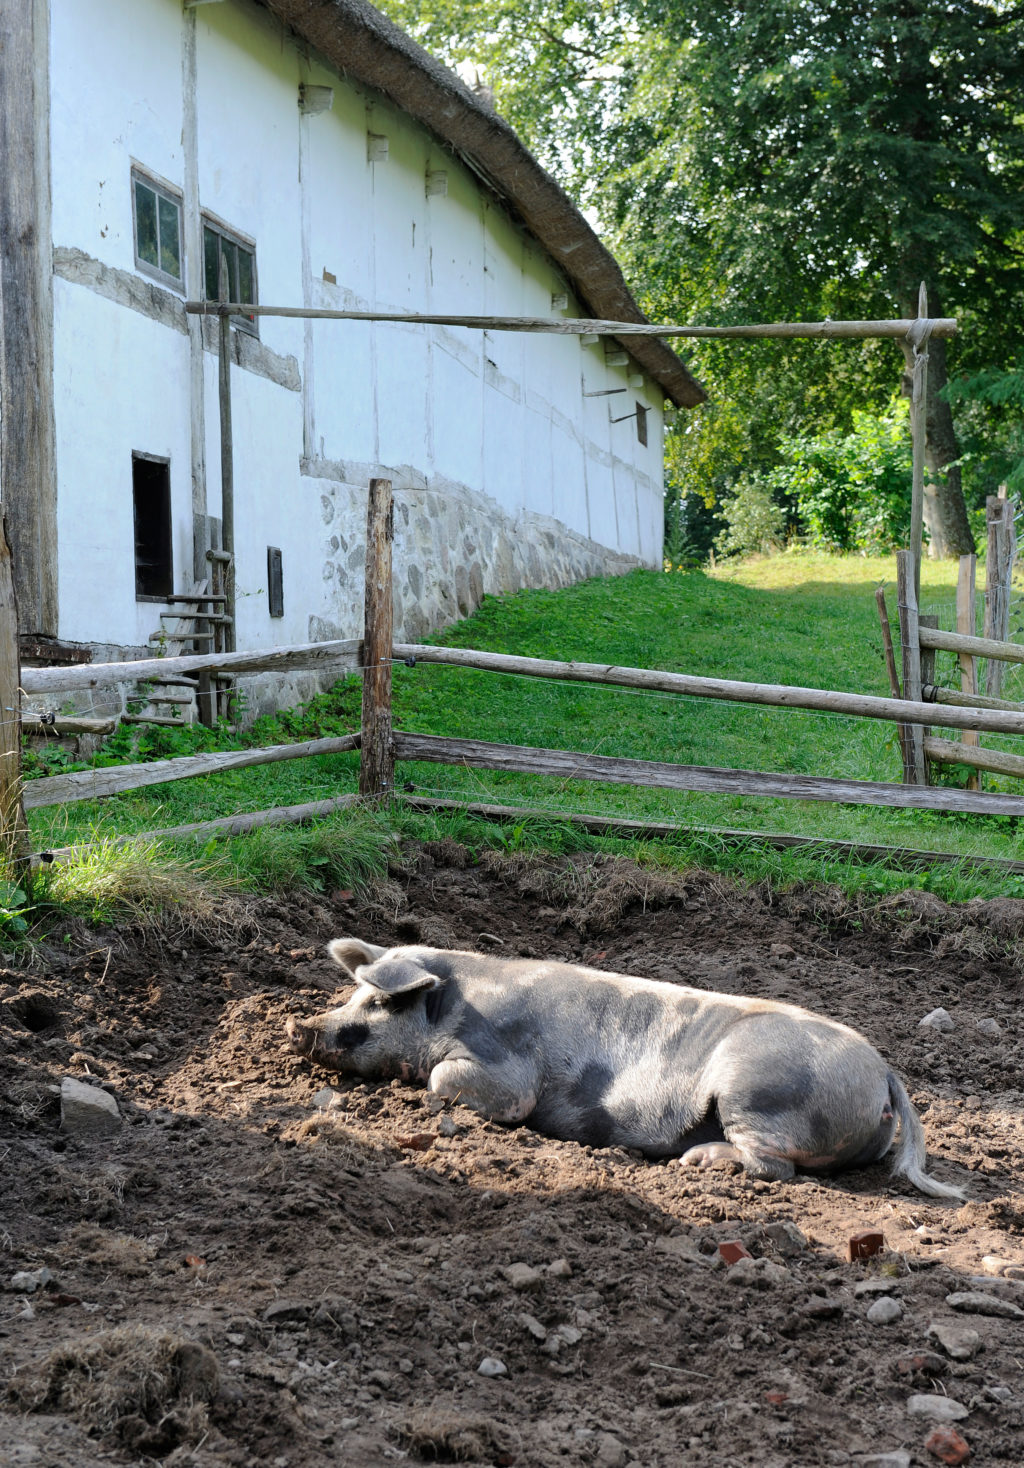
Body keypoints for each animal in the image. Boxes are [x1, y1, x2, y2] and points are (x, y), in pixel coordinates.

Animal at [283, 945, 962, 1197]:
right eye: (354, 993)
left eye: (379, 1003)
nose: (298, 1026)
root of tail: (884, 1072)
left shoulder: (508, 1075)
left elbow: (448, 1084)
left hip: (754, 1087)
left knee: (778, 1167)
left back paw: (697, 1162)